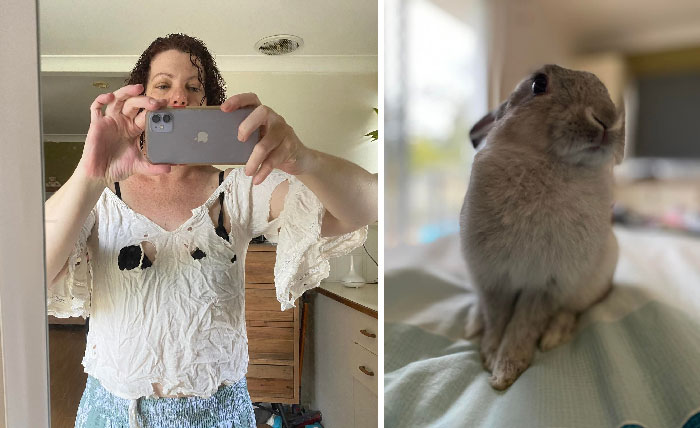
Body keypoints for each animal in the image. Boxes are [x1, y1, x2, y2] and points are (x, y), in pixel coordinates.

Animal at [459, 64, 624, 390]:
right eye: (538, 84)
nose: (607, 119)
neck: (550, 164)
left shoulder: (546, 283)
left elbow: (523, 325)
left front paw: (504, 371)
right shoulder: (494, 278)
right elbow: (497, 318)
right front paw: (490, 356)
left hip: (590, 283)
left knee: (572, 310)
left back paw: (553, 336)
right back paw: (473, 325)